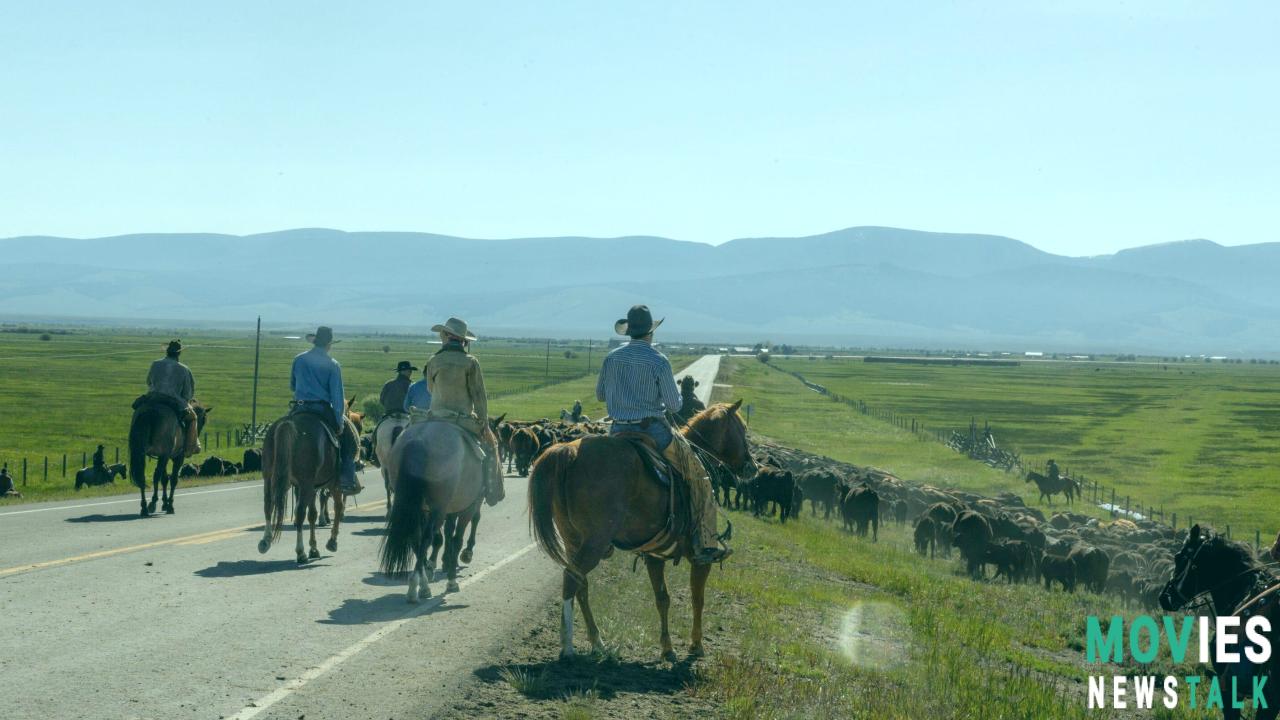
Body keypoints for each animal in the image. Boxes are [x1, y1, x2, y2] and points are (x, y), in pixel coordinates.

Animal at [257, 407, 345, 563]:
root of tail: (289, 423)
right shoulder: (331, 484)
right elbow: (337, 507)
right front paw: (331, 542)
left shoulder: (308, 487)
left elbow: (312, 514)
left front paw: (314, 548)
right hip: (307, 483)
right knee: (299, 514)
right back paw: (300, 552)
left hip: (269, 478)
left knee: (268, 505)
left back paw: (265, 541)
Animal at [378, 417, 488, 597]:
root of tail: (418, 441)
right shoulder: (469, 505)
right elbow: (458, 538)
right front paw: (452, 577)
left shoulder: (449, 509)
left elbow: (448, 533)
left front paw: (444, 562)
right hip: (438, 508)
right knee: (426, 538)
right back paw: (418, 586)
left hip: (416, 506)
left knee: (415, 537)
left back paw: (422, 580)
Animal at [527, 399, 752, 661]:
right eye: (742, 429)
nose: (752, 466)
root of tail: (567, 453)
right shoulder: (700, 557)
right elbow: (698, 597)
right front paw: (696, 645)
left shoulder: (655, 555)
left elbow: (662, 598)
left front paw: (667, 648)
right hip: (593, 544)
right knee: (571, 579)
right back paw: (568, 646)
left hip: (573, 540)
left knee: (581, 585)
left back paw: (597, 642)